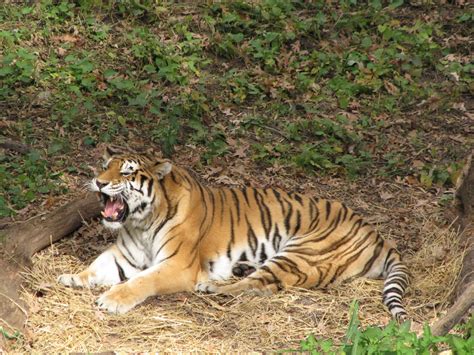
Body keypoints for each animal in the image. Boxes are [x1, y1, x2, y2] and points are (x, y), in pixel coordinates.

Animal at [57, 146, 410, 322]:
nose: (99, 182)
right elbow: (96, 268)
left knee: (262, 285)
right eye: (104, 167)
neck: (140, 222)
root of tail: (375, 232)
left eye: (127, 172)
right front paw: (72, 277)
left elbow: (142, 281)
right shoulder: (124, 256)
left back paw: (212, 286)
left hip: (301, 253)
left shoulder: (178, 265)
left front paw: (112, 300)